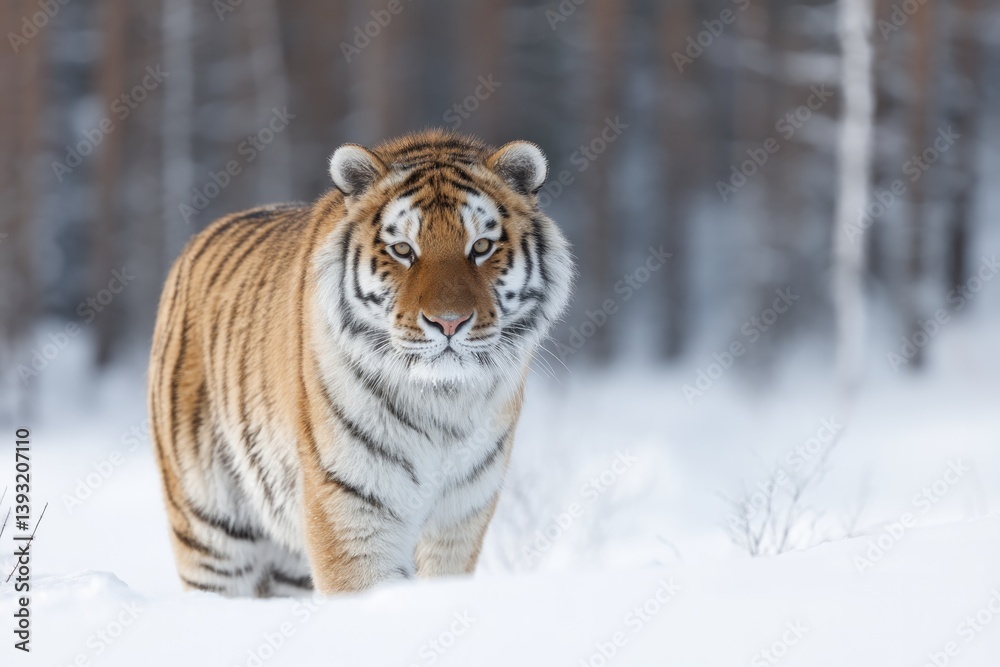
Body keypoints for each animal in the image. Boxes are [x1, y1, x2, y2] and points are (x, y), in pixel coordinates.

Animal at [148, 129, 574, 597]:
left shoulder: (459, 517)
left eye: (481, 246)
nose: (448, 322)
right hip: (211, 529)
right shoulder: (351, 507)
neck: (442, 403)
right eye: (403, 249)